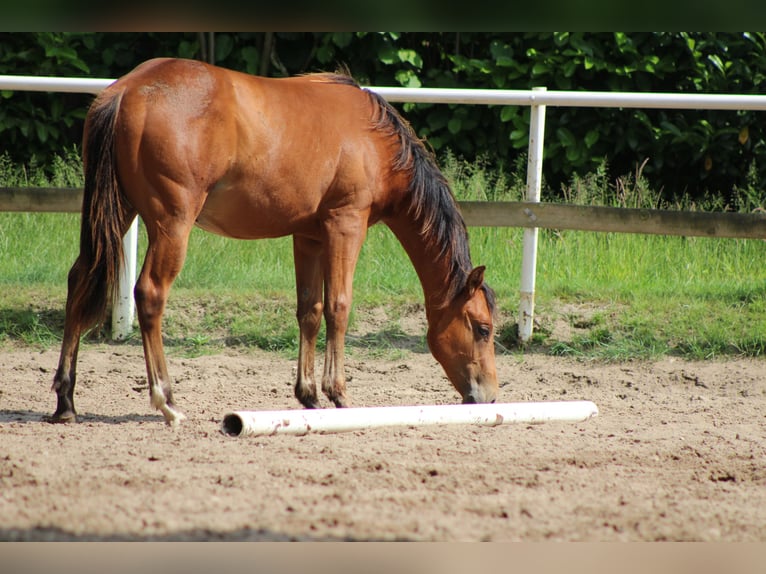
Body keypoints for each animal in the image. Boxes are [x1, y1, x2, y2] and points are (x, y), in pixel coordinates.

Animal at [49, 57, 499, 426]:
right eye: (482, 328)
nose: (490, 397)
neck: (374, 141)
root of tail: (125, 92)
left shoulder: (309, 236)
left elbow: (310, 311)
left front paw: (309, 395)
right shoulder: (345, 225)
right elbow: (338, 307)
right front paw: (338, 394)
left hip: (117, 213)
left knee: (79, 280)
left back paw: (66, 402)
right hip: (172, 225)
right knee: (150, 294)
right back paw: (167, 402)